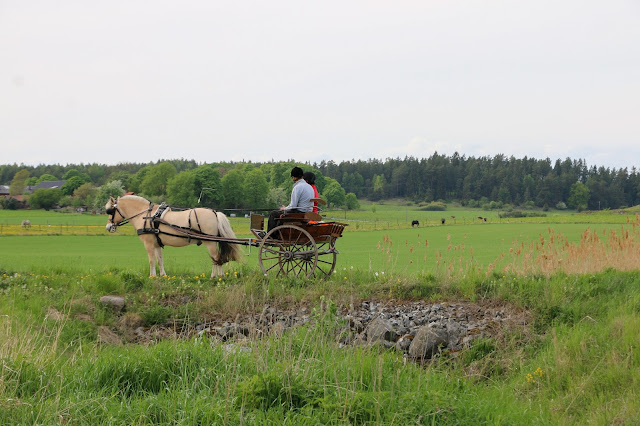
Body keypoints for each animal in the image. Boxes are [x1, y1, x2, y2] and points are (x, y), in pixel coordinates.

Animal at [104, 195, 242, 277]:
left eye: (110, 211)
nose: (108, 227)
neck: (145, 216)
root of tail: (214, 212)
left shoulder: (148, 244)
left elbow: (151, 260)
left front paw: (152, 276)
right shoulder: (156, 244)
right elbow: (159, 259)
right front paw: (162, 275)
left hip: (210, 242)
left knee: (216, 258)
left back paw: (216, 276)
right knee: (216, 258)